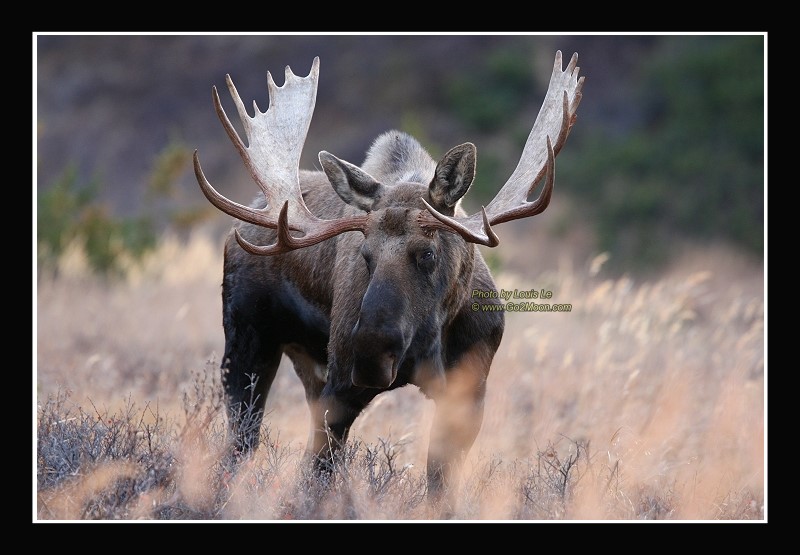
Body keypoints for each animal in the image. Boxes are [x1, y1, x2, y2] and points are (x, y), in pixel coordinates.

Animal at [193, 50, 584, 512]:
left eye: (428, 253)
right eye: (366, 255)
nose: (370, 353)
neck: (433, 337)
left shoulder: (469, 392)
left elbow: (438, 484)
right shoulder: (341, 390)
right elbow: (316, 475)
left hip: (307, 368)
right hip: (248, 342)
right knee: (241, 443)